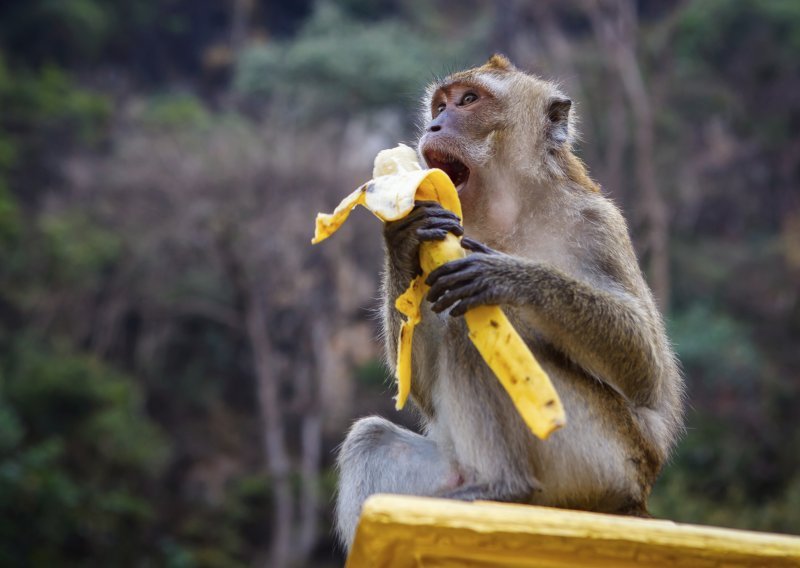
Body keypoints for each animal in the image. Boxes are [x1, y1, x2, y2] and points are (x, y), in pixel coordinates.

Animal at [332, 56, 680, 552]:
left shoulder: (596, 224)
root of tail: (633, 501)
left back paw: (506, 486)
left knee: (471, 331)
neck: (507, 212)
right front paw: (402, 233)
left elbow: (648, 374)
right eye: (440, 105)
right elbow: (420, 385)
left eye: (468, 100)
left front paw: (506, 275)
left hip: (597, 458)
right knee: (373, 436)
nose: (435, 124)